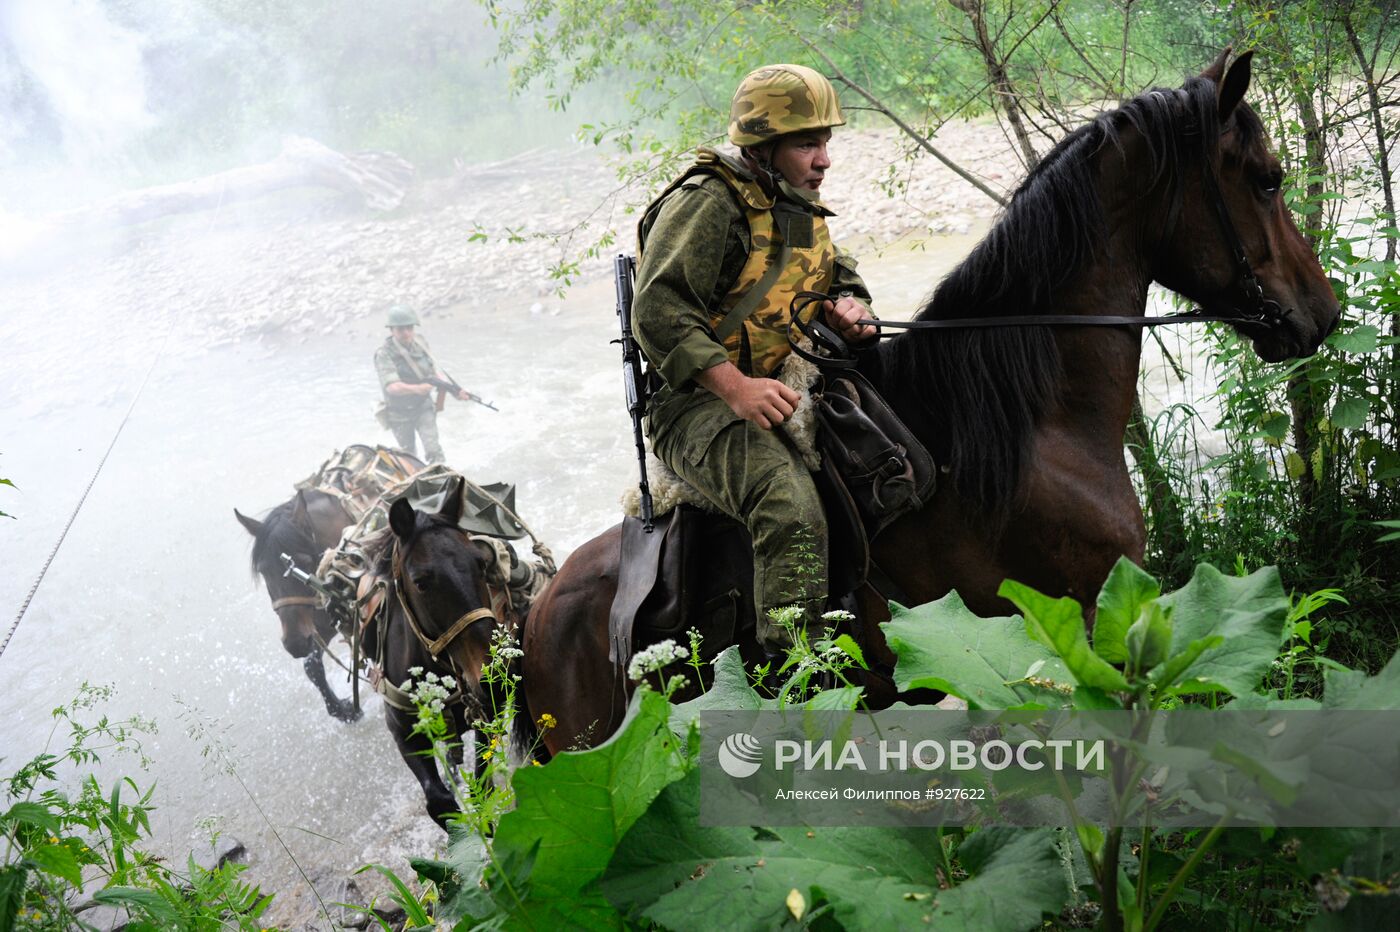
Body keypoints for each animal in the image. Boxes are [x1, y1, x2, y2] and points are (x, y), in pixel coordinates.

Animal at [233, 489, 361, 722]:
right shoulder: (319, 624)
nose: (295, 643)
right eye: (264, 571)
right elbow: (312, 666)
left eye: (303, 562)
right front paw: (342, 710)